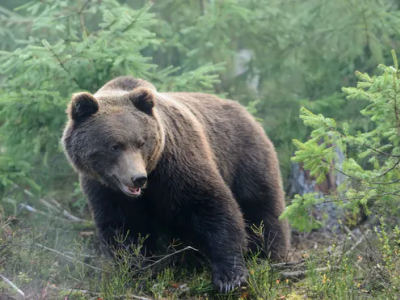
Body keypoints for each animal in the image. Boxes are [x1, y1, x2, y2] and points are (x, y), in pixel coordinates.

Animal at [61, 76, 290, 292]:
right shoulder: (104, 189)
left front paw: (230, 277)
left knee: (261, 206)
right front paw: (137, 272)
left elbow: (211, 205)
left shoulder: (175, 163)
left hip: (245, 156)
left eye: (141, 142)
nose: (137, 178)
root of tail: (247, 113)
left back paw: (271, 255)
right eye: (114, 146)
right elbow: (123, 229)